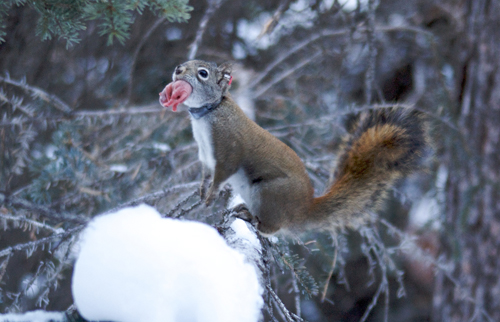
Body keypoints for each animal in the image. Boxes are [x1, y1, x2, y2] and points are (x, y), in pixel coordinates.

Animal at [159, 60, 426, 235]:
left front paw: (211, 195)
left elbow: (224, 171)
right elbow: (206, 173)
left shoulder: (228, 149)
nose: (178, 69)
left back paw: (251, 218)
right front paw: (202, 190)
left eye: (202, 73)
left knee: (271, 228)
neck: (209, 113)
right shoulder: (206, 155)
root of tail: (303, 209)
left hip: (269, 193)